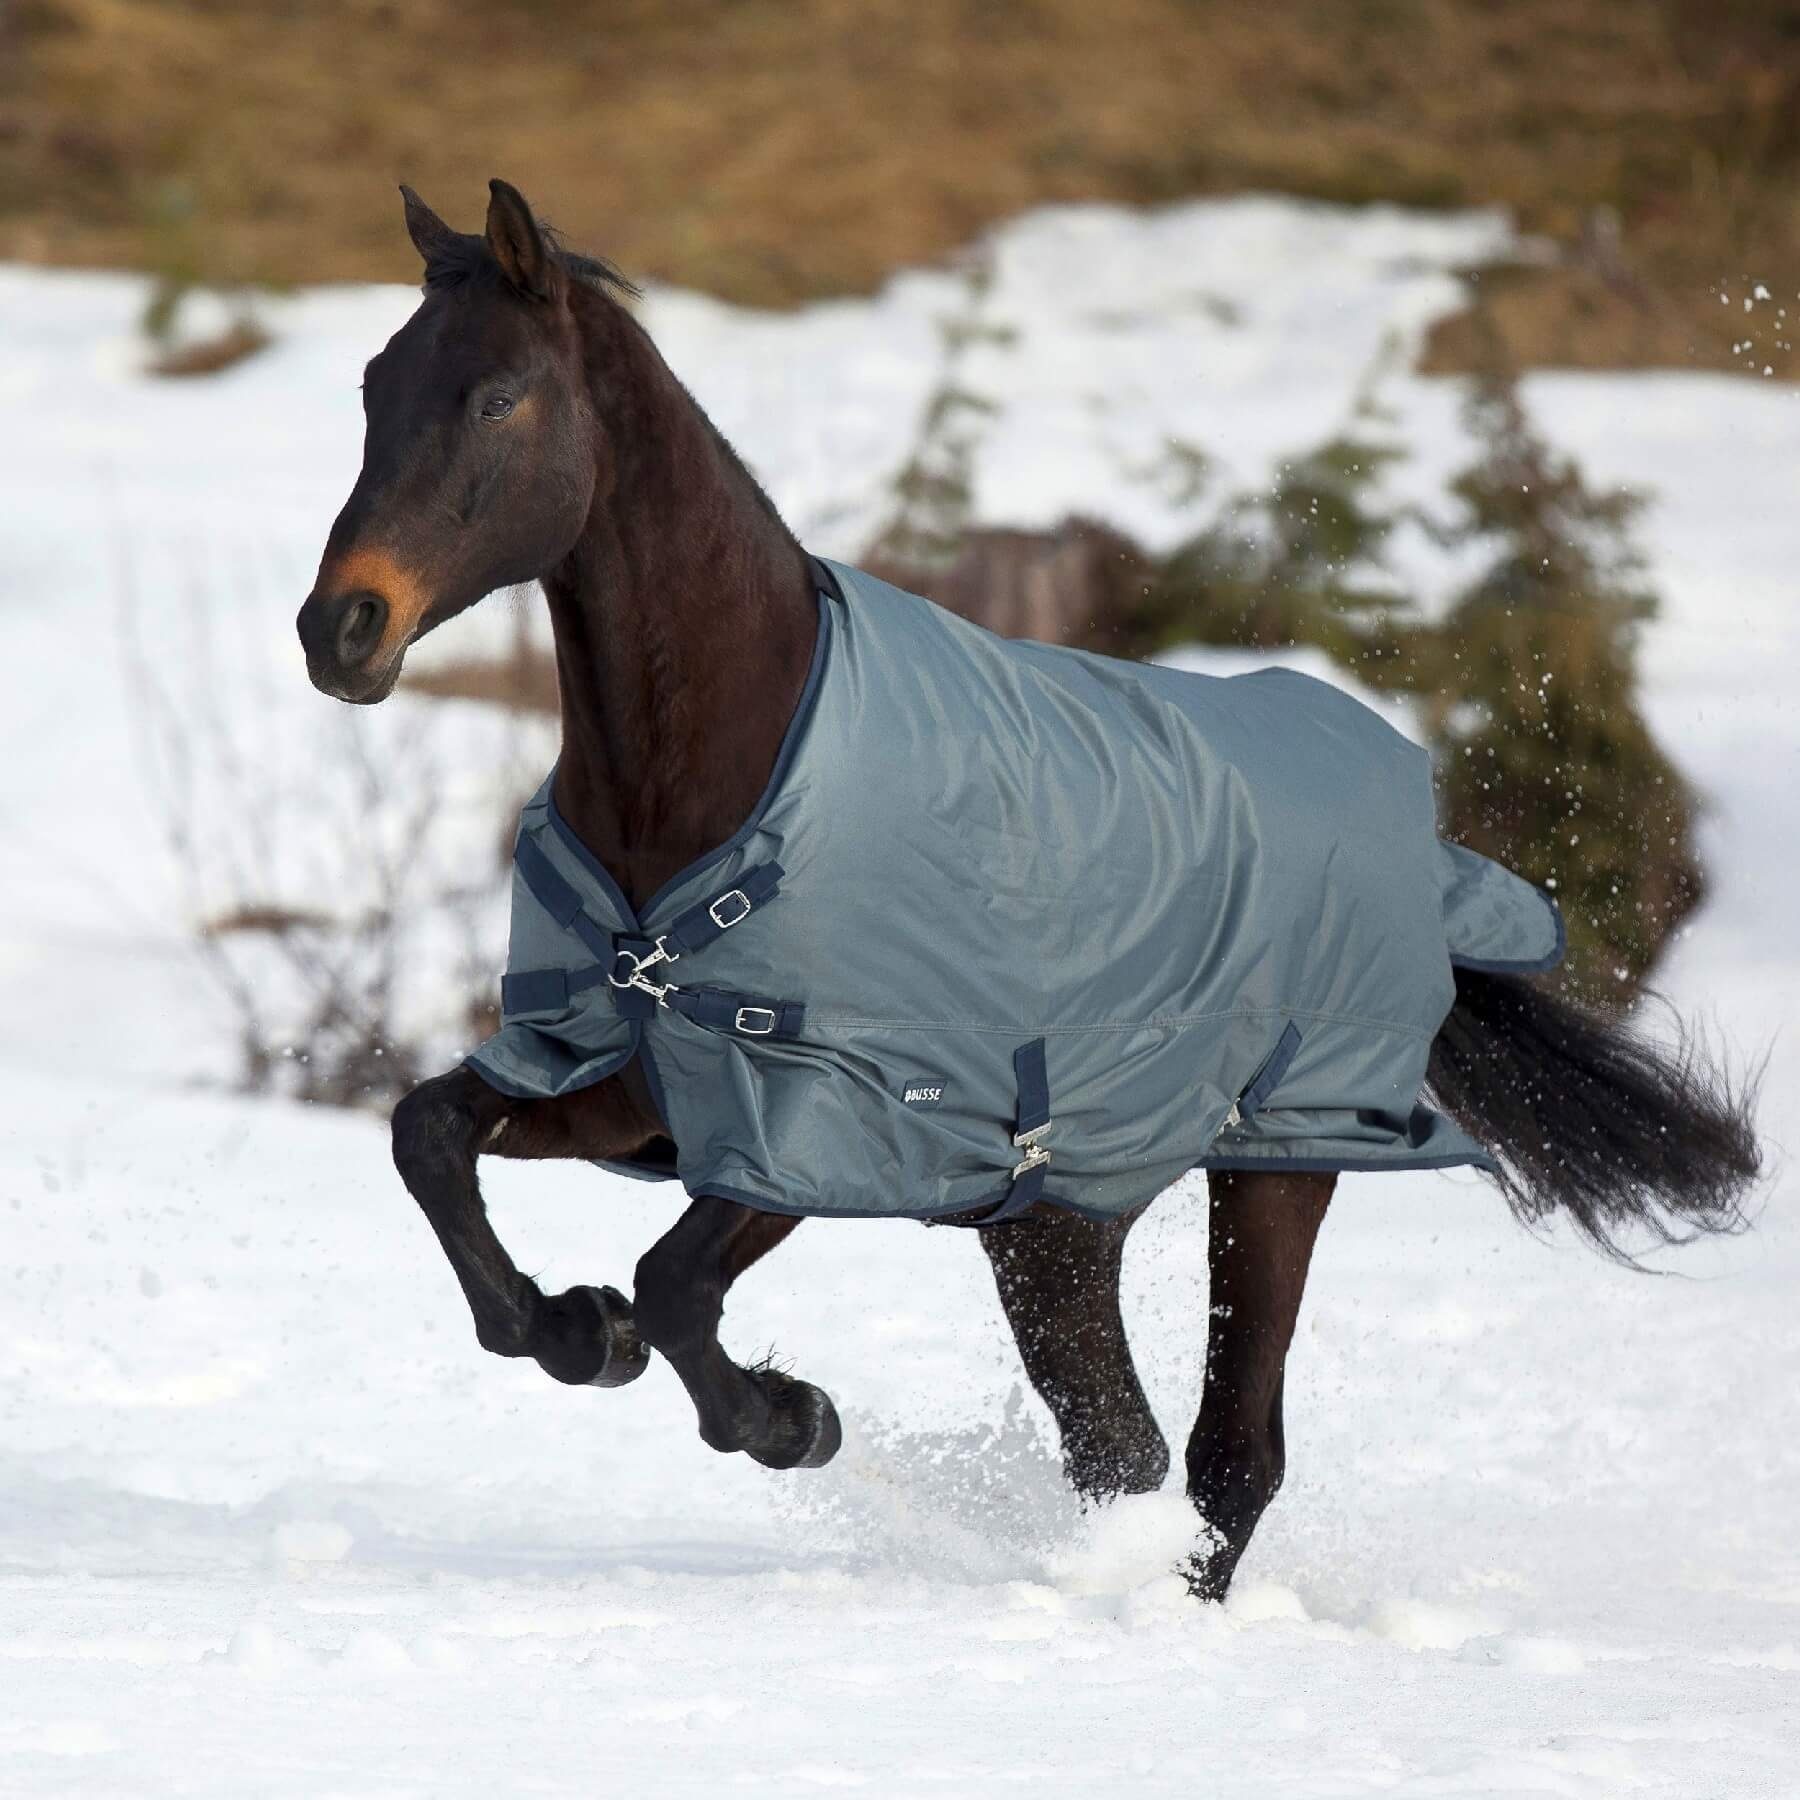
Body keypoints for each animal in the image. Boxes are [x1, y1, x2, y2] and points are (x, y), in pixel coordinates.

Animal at [295, 180, 1762, 1601]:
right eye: (372, 387)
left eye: (496, 397)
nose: (339, 630)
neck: (722, 787)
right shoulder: (619, 1081)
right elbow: (430, 1139)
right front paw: (572, 1329)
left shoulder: (832, 1127)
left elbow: (671, 1287)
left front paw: (788, 1415)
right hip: (1057, 1223)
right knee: (1126, 1445)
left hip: (1277, 1164)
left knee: (1227, 1456)